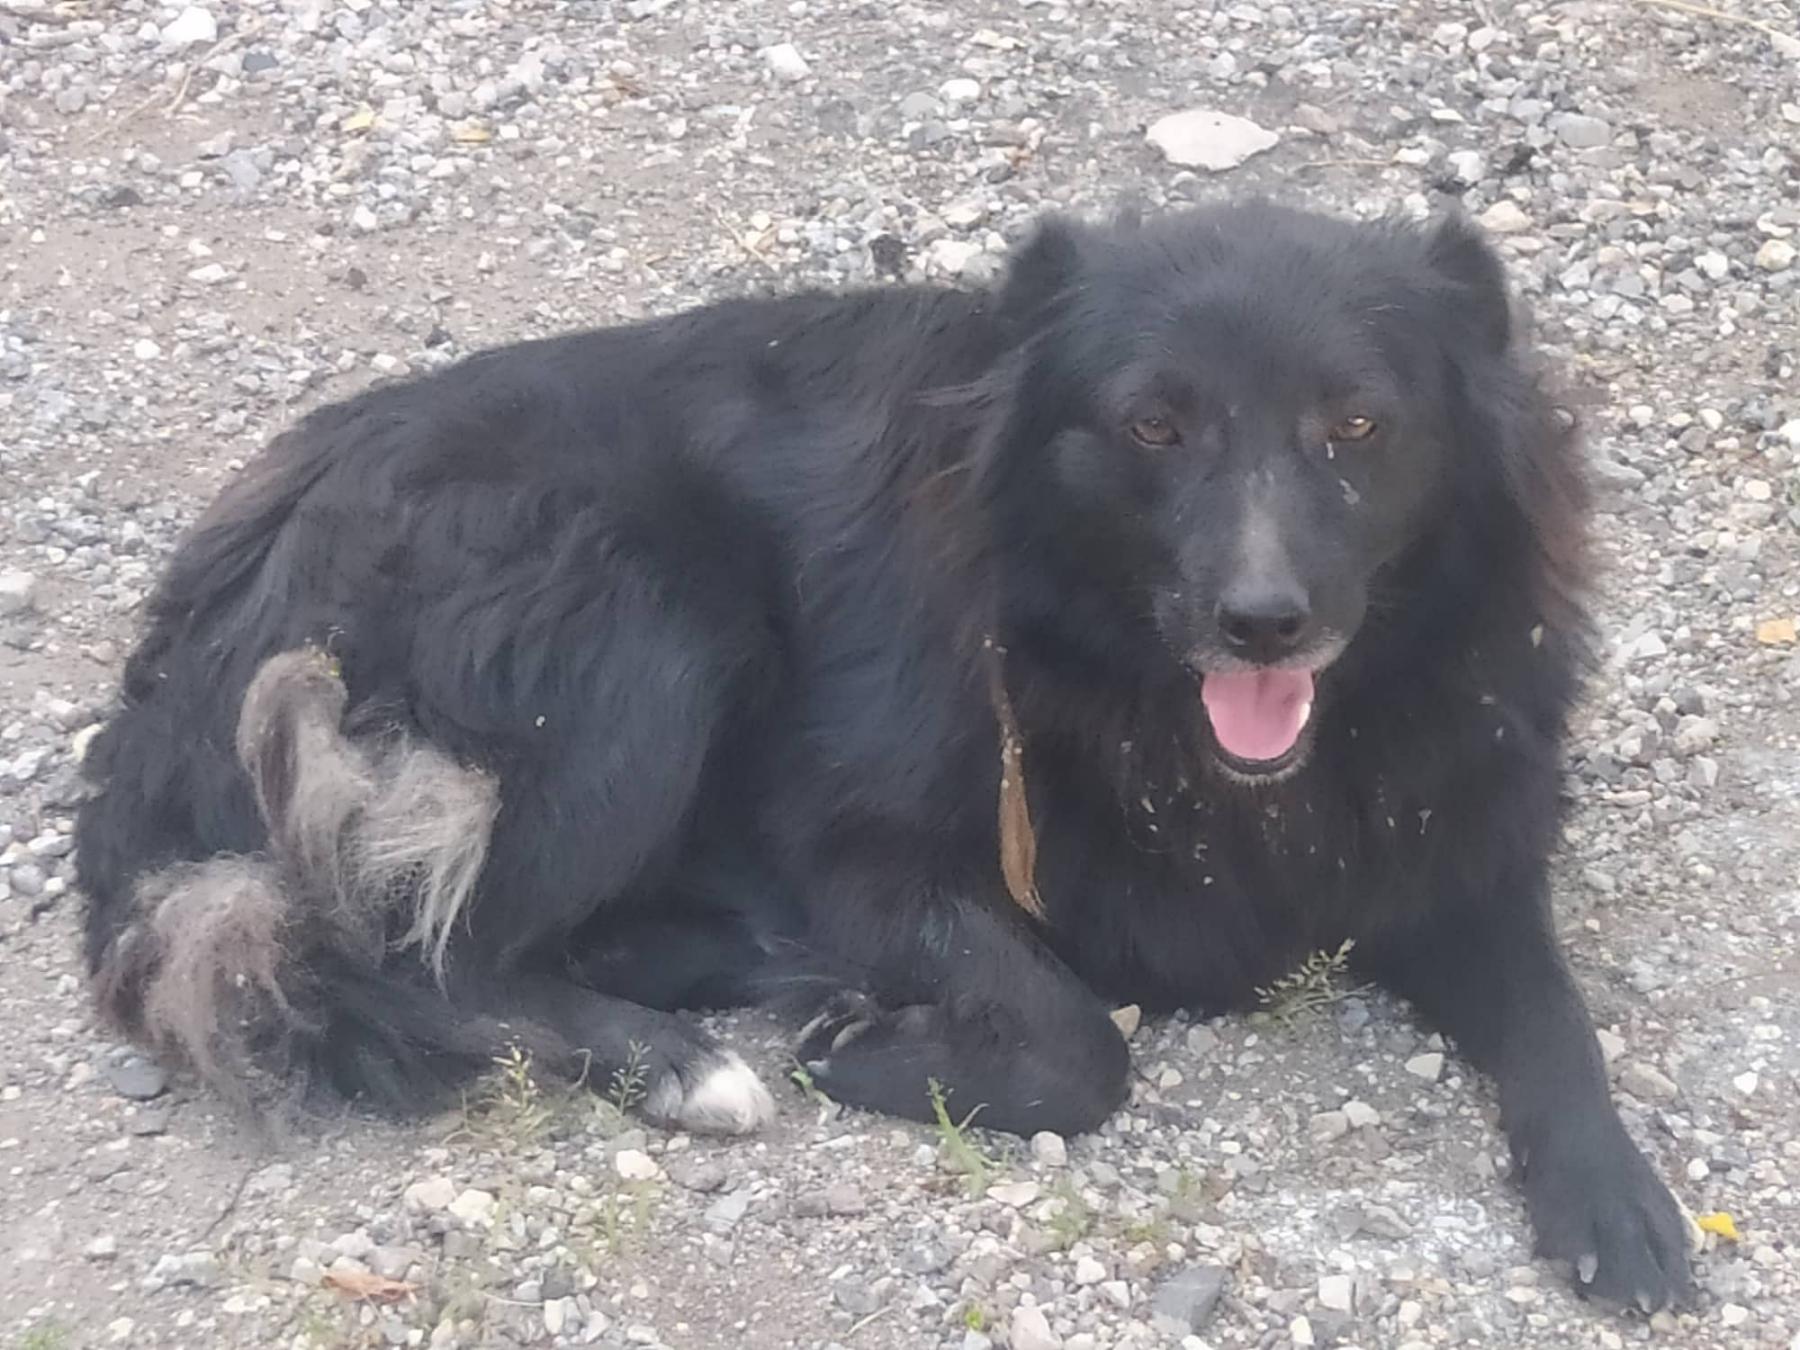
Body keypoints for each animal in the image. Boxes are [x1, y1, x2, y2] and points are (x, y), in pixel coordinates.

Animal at [74, 199, 1691, 1310]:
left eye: (1357, 426)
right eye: (1153, 426)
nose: (1263, 623)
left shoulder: (1448, 839)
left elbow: (1553, 1010)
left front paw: (1615, 1193)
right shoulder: (859, 845)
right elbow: (1080, 1042)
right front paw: (881, 1054)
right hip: (647, 614)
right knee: (414, 949)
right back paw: (684, 1059)